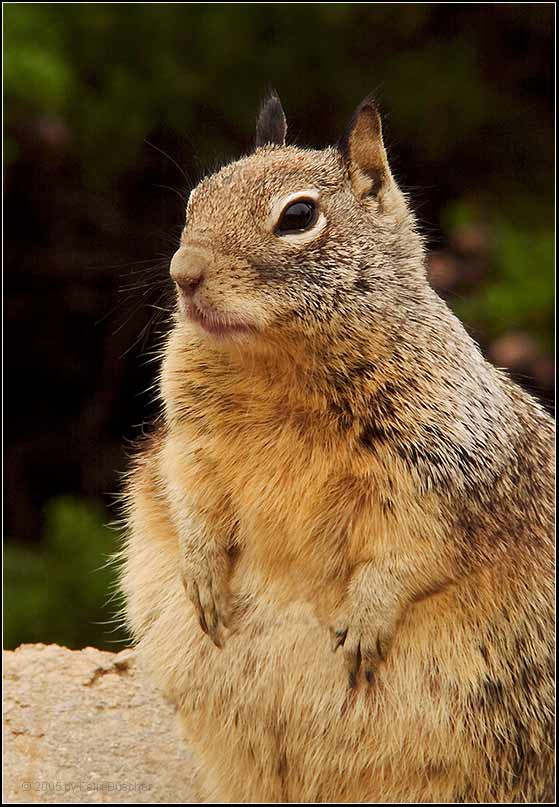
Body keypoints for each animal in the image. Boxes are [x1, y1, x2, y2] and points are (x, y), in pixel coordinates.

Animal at [119, 93, 556, 800]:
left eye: (298, 216)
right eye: (196, 198)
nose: (183, 275)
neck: (277, 367)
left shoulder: (442, 468)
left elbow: (412, 551)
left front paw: (365, 622)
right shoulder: (190, 444)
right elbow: (189, 496)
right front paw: (202, 573)